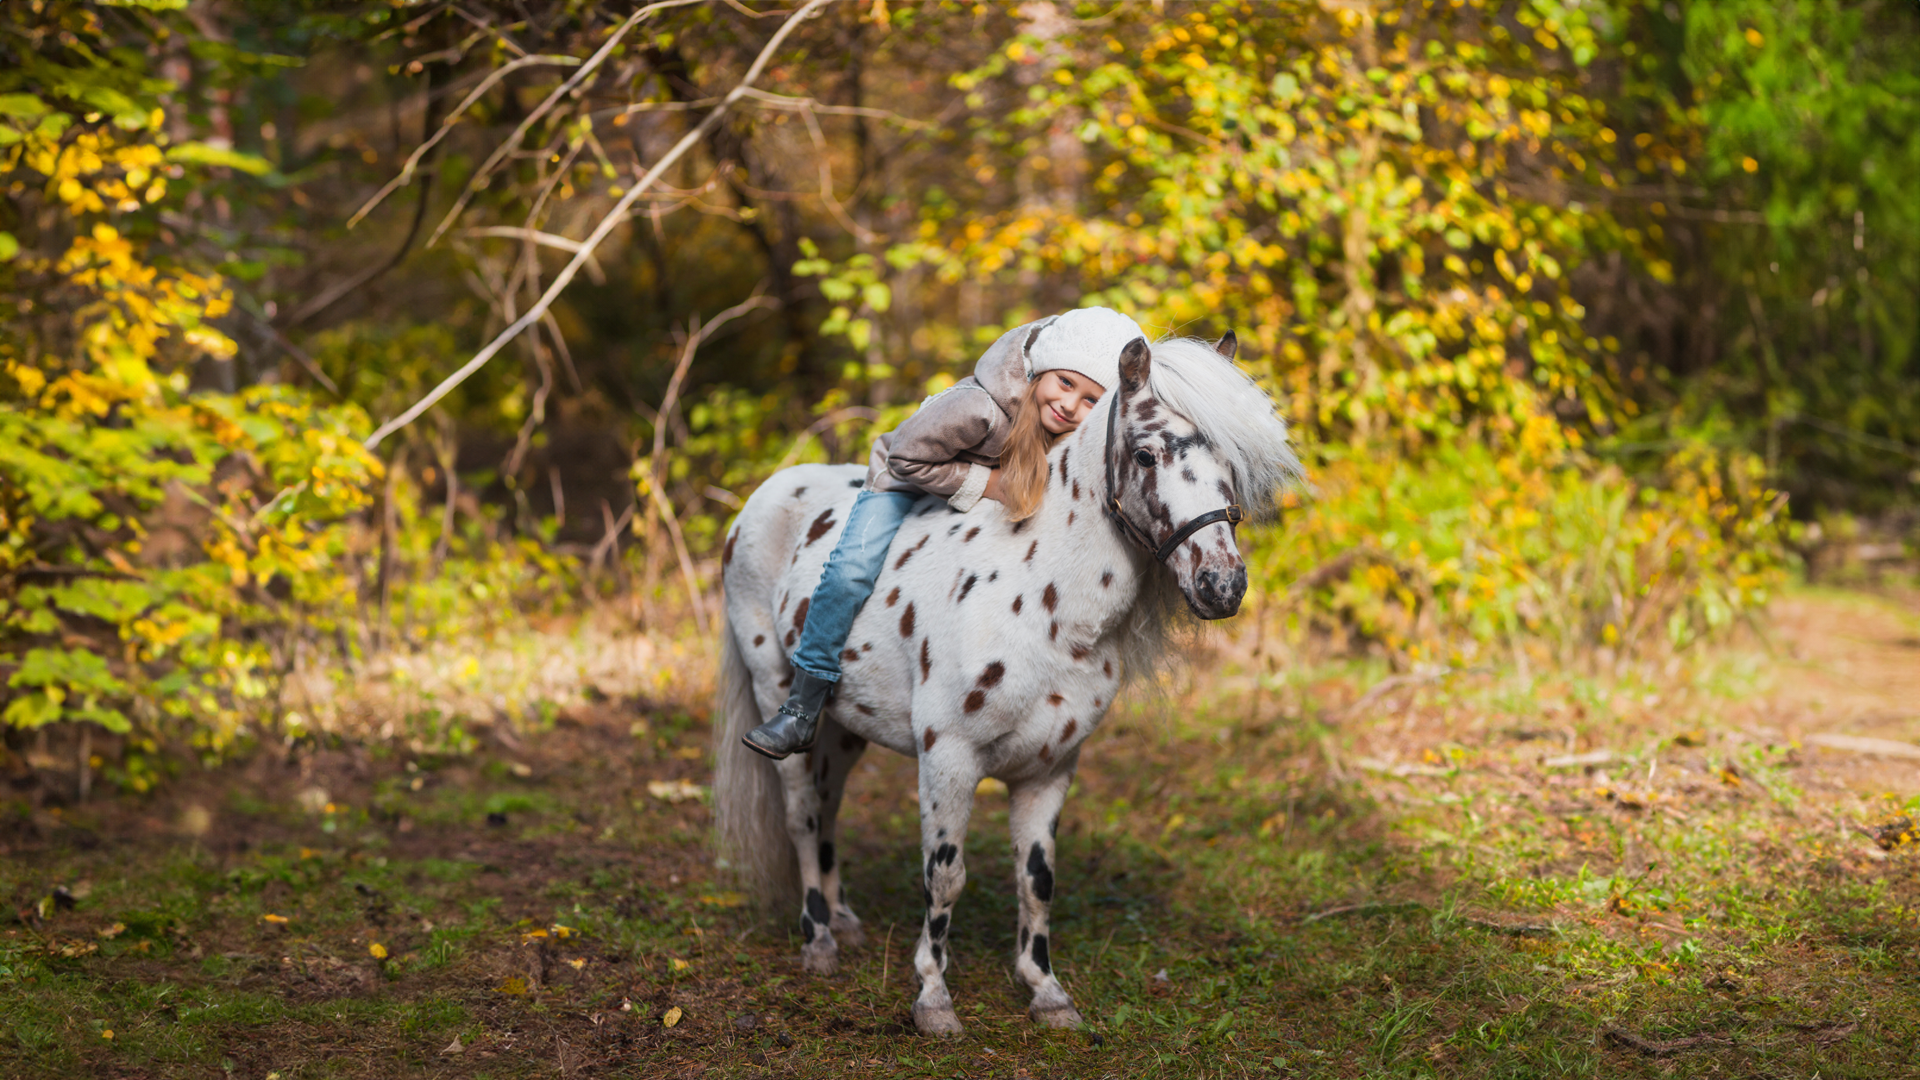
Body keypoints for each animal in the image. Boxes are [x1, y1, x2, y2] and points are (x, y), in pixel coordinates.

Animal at [714, 332, 1297, 1030]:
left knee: (827, 807)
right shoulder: (949, 759)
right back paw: (819, 940)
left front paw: (1045, 991)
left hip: (844, 725)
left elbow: (1036, 879)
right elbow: (945, 876)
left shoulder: (1051, 768)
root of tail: (765, 496)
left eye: (1230, 460)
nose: (1222, 585)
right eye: (1146, 453)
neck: (1039, 594)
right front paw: (933, 997)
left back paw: (845, 920)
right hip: (776, 691)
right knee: (802, 814)